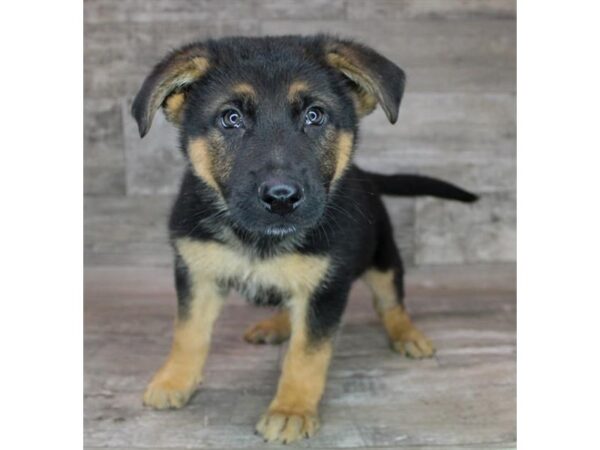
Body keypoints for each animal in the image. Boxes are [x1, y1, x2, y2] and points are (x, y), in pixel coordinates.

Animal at [131, 35, 478, 442]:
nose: (281, 198)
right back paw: (276, 324)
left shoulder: (326, 289)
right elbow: (188, 333)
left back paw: (406, 334)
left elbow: (306, 355)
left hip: (383, 257)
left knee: (391, 303)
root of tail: (366, 175)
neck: (259, 239)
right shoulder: (196, 272)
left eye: (315, 115)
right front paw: (174, 381)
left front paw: (291, 409)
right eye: (231, 118)